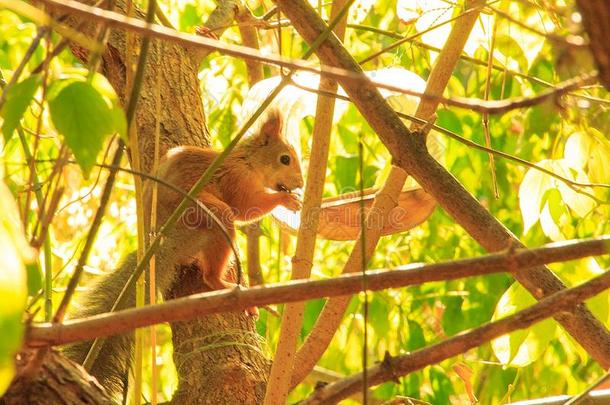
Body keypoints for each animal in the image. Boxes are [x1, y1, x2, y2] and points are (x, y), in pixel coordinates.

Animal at [61, 109, 304, 396]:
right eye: (285, 159)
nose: (300, 183)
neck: (247, 160)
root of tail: (166, 238)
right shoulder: (236, 179)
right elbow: (247, 207)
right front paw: (285, 201)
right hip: (206, 213)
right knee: (215, 260)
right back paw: (225, 285)